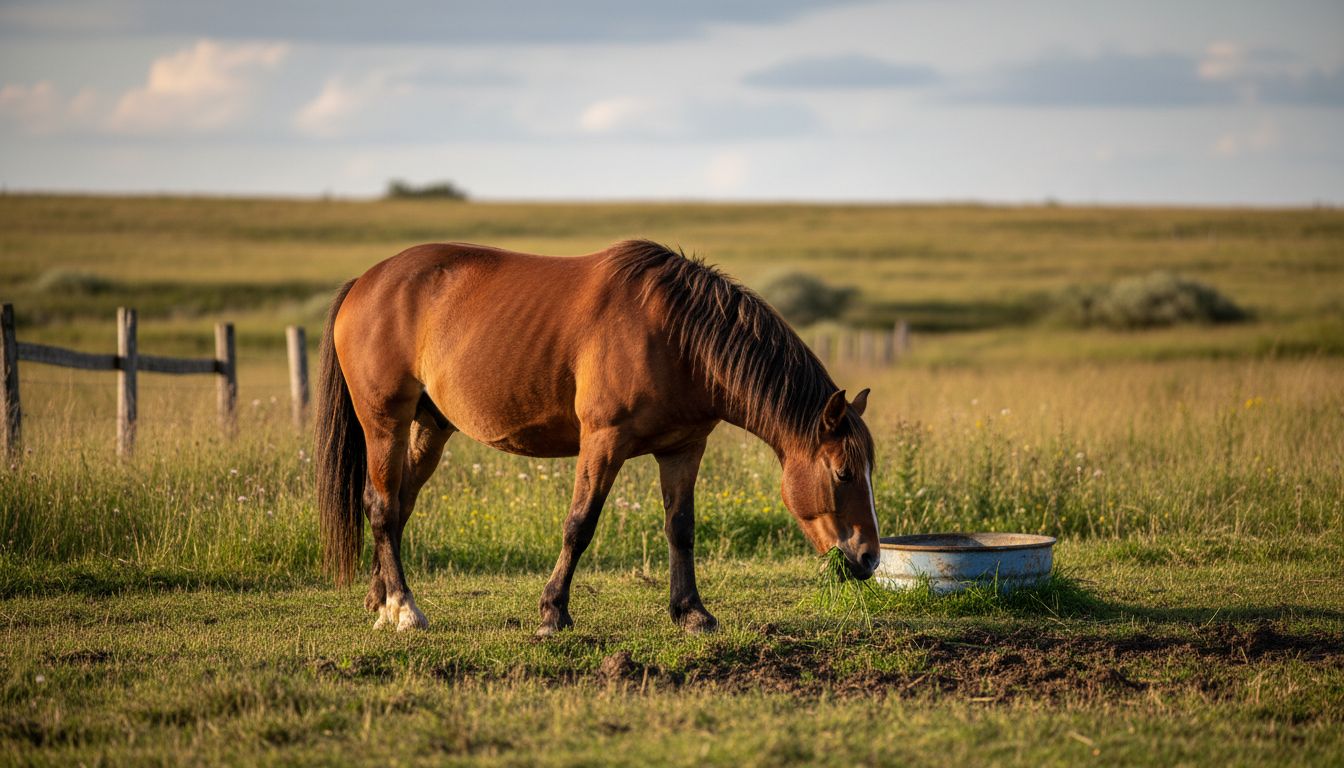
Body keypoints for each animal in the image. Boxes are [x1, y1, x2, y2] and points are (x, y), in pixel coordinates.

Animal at [315, 239, 881, 635]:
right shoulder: (603, 442)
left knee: (397, 504)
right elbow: (579, 525)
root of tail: (366, 281)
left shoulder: (683, 448)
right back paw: (405, 609)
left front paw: (692, 613)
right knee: (382, 506)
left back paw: (381, 601)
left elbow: (681, 528)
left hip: (430, 427)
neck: (677, 336)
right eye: (843, 472)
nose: (869, 559)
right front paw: (552, 613)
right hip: (384, 421)